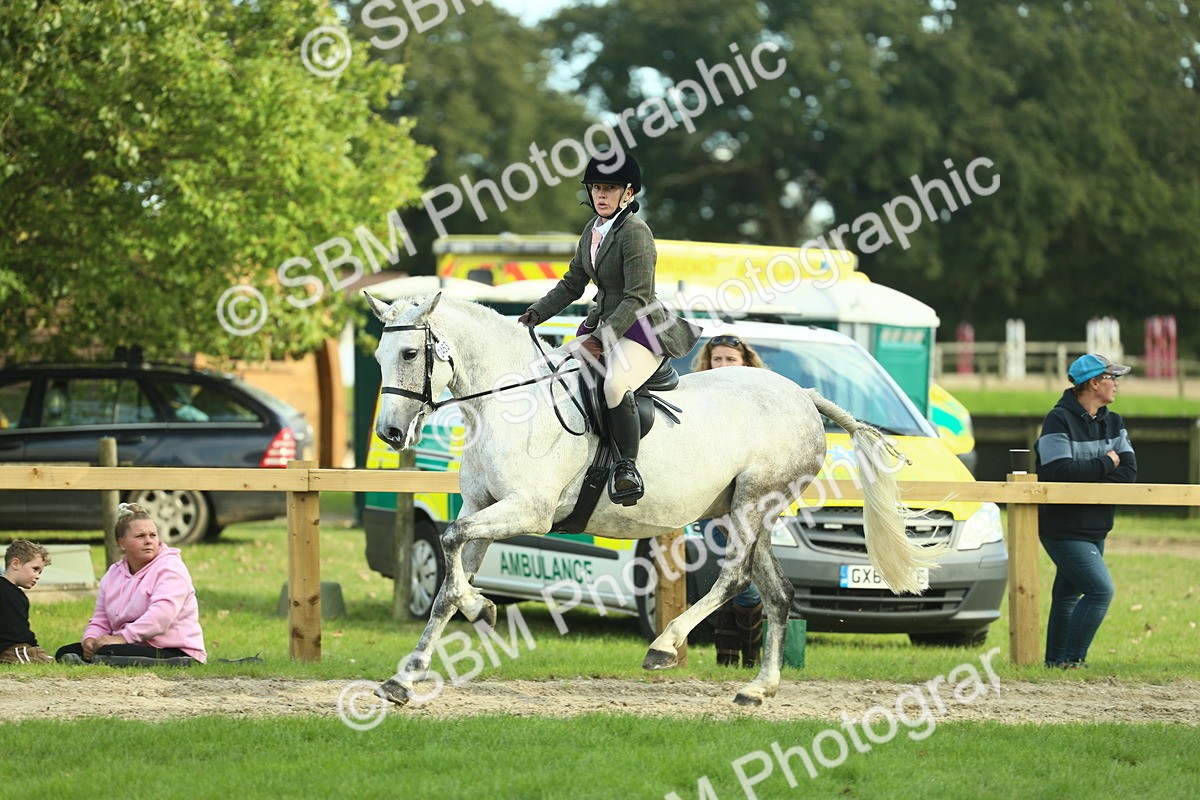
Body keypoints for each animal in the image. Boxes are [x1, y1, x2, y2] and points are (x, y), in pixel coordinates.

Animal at [366, 291, 943, 707]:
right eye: (377, 356)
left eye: (410, 353)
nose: (390, 433)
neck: (510, 405)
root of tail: (802, 394)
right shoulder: (481, 507)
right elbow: (447, 578)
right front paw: (408, 675)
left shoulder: (526, 510)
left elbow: (449, 543)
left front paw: (478, 607)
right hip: (749, 513)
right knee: (776, 592)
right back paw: (758, 689)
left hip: (751, 505)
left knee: (734, 578)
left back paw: (665, 646)